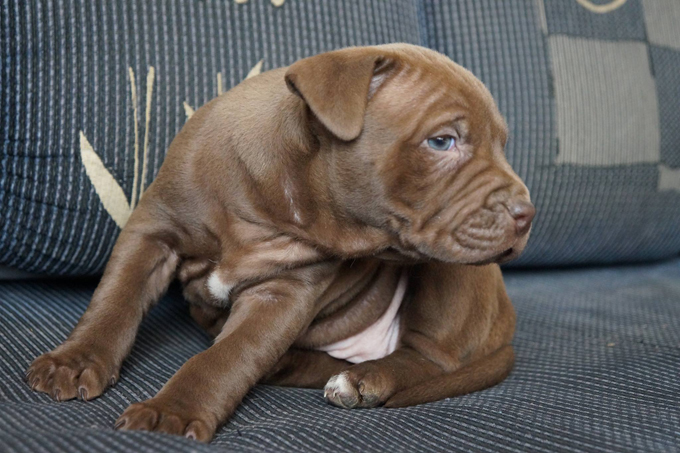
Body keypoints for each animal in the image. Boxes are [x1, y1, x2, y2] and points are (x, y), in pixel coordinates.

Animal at [26, 44, 534, 442]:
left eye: (503, 144)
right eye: (442, 141)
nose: (527, 214)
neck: (279, 192)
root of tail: (506, 326)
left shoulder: (283, 294)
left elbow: (227, 357)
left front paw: (172, 411)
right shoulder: (152, 231)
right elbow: (114, 301)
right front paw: (75, 360)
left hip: (452, 280)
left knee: (431, 359)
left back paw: (363, 379)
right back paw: (293, 365)